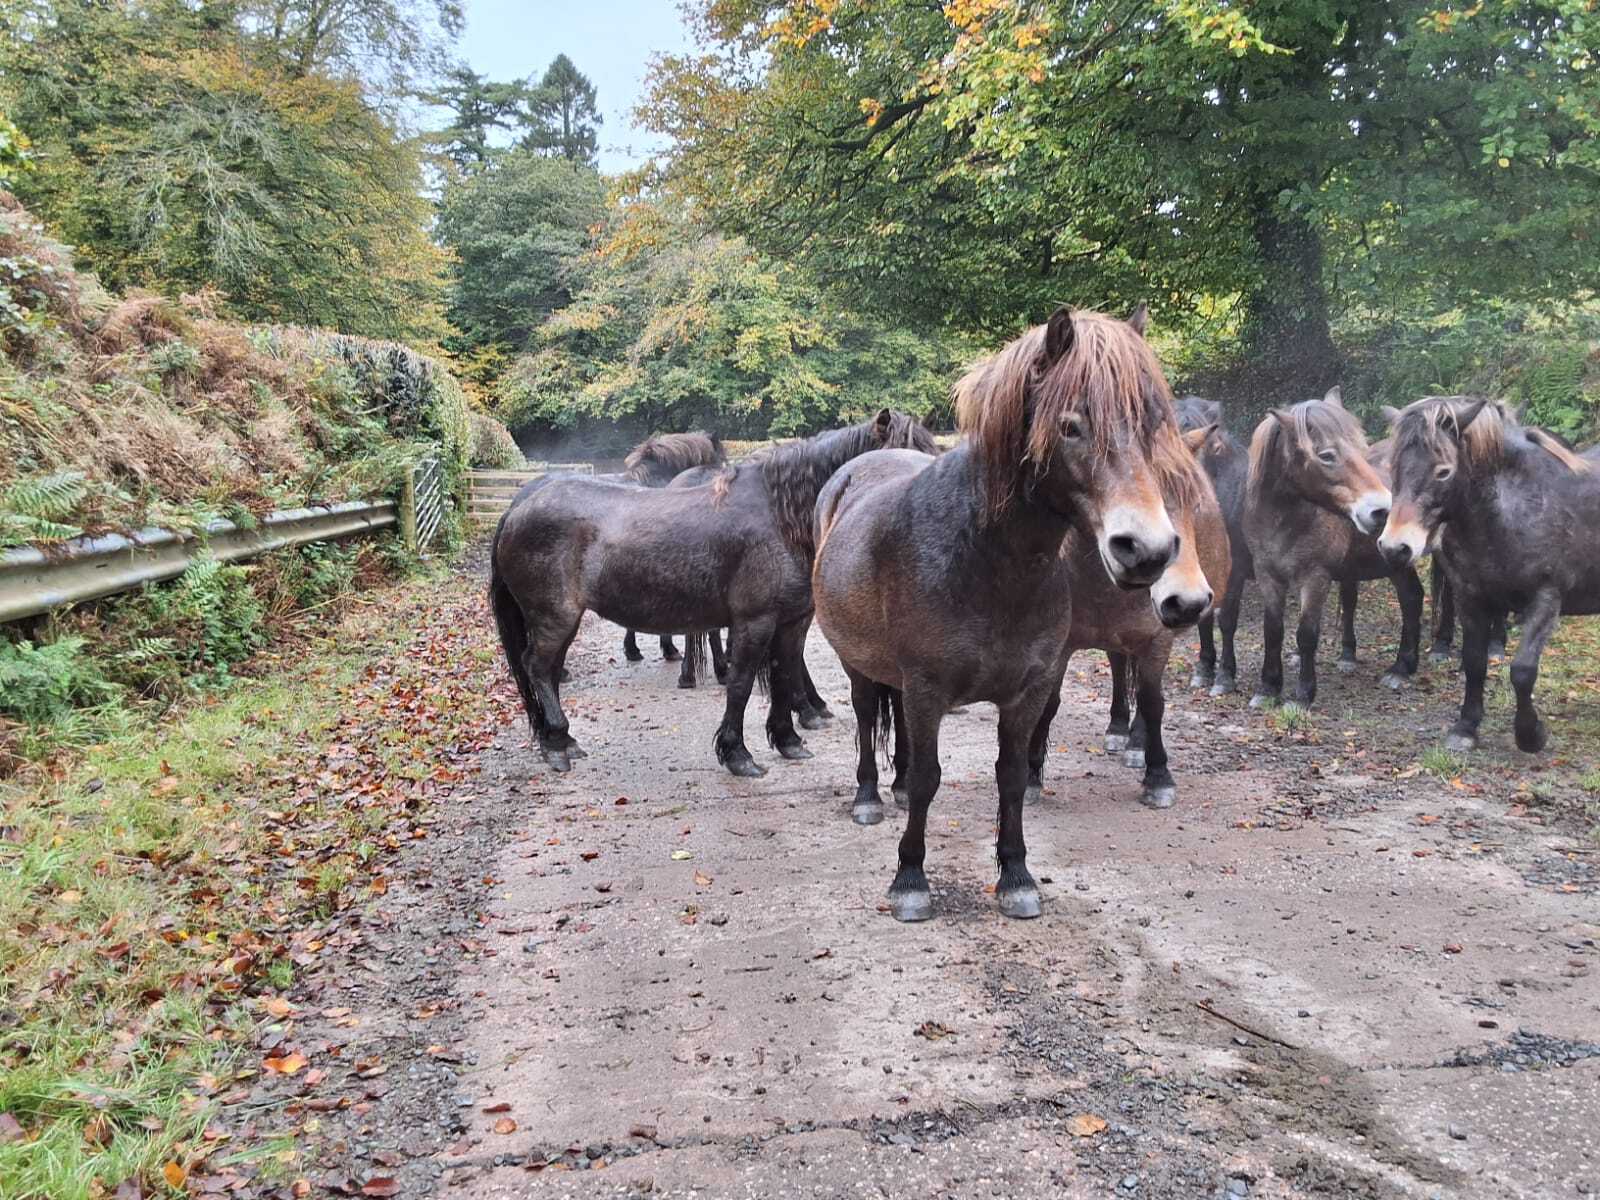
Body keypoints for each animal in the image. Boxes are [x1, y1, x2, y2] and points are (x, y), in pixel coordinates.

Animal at [492, 412, 934, 780]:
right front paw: (737, 753)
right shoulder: (754, 621)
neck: (780, 517)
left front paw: (788, 740)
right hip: (554, 616)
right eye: (900, 458)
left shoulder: (789, 622)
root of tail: (518, 507)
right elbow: (740, 684)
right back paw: (556, 744)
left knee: (548, 670)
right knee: (536, 667)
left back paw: (561, 740)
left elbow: (782, 675)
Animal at [819, 307, 1196, 921]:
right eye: (1070, 426)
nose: (1148, 550)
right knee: (866, 716)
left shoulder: (1028, 689)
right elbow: (928, 779)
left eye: (1152, 424)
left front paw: (1017, 877)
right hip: (858, 665)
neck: (985, 562)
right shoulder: (927, 689)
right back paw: (870, 796)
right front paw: (910, 880)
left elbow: (1013, 777)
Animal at [1235, 395, 1427, 710]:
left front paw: (1302, 696)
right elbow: (1272, 630)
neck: (1284, 522)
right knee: (1411, 597)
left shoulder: (1316, 578)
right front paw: (1268, 688)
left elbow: (1306, 634)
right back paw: (1403, 667)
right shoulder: (1268, 576)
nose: (1382, 511)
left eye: (1360, 448)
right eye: (1326, 455)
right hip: (1396, 560)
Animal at [1376, 395, 1600, 752]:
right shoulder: (1470, 598)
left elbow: (1522, 670)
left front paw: (1530, 734)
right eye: (1393, 467)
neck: (1515, 510)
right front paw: (1466, 727)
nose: (1395, 547)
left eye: (1443, 471)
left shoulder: (1546, 600)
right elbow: (1474, 661)